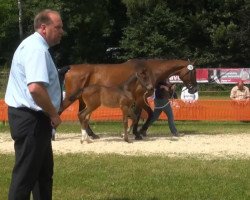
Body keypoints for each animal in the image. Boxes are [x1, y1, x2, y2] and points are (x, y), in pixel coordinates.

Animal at [59, 59, 197, 139]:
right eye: (193, 72)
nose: (194, 89)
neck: (150, 71)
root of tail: (70, 68)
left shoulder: (138, 100)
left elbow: (139, 114)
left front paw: (136, 132)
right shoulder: (140, 98)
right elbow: (147, 114)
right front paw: (139, 132)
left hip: (83, 100)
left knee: (82, 115)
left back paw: (91, 135)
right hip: (71, 98)